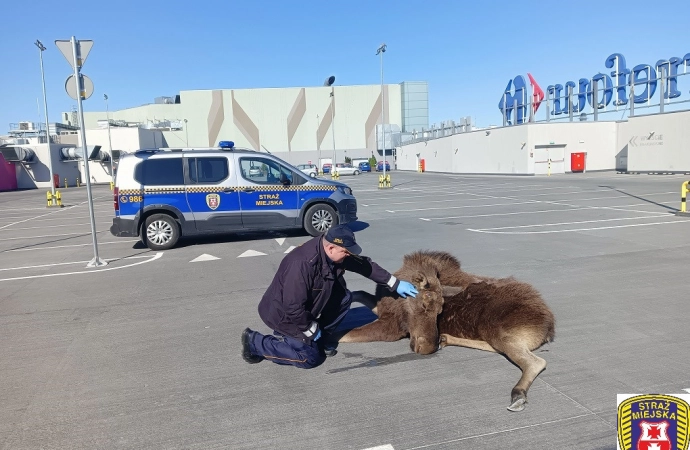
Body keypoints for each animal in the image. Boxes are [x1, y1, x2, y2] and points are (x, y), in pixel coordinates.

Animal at [336, 250, 556, 412]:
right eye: (425, 305)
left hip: (496, 328)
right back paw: (446, 338)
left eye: (440, 311)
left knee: (535, 362)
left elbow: (343, 335)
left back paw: (518, 394)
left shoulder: (391, 327)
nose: (428, 348)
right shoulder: (382, 309)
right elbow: (359, 293)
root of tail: (549, 326)